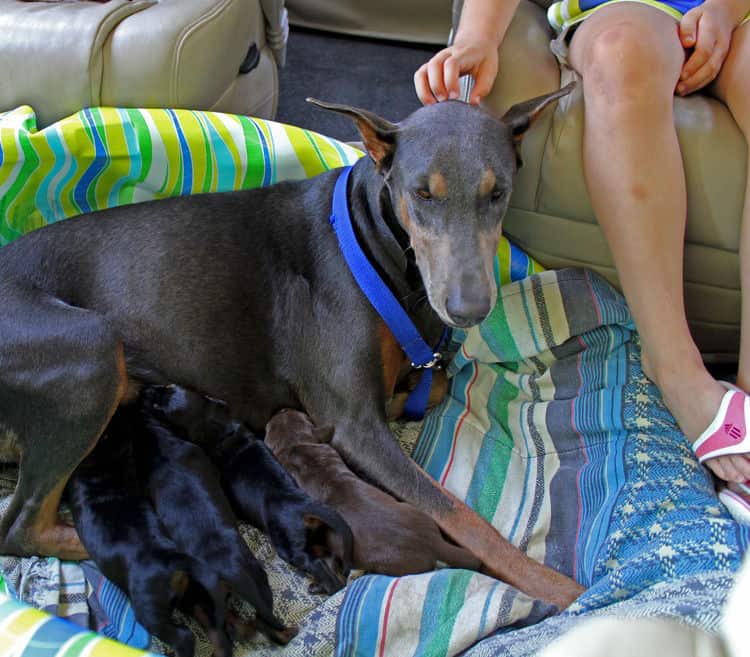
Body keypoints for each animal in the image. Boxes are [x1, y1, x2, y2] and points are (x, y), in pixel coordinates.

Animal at [143, 384, 356, 596]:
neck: (221, 429)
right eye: (170, 386)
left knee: (320, 567)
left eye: (159, 408)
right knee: (330, 561)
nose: (146, 390)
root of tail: (302, 503)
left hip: (290, 547)